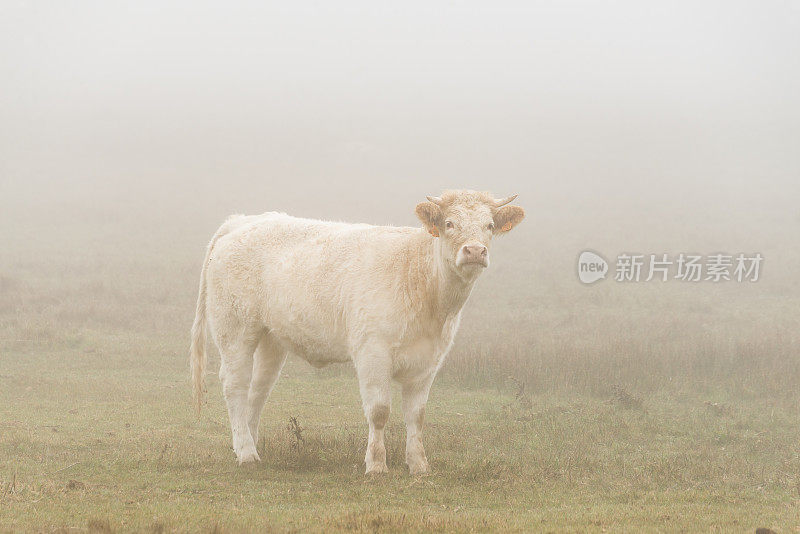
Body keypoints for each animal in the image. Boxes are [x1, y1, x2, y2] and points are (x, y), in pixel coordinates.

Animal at [190, 191, 520, 476]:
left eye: (490, 225)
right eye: (449, 223)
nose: (475, 251)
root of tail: (242, 221)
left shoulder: (428, 361)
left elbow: (417, 416)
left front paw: (419, 466)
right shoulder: (372, 351)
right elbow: (379, 411)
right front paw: (376, 465)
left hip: (272, 337)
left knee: (258, 389)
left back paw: (248, 445)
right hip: (235, 328)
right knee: (235, 385)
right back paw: (246, 453)